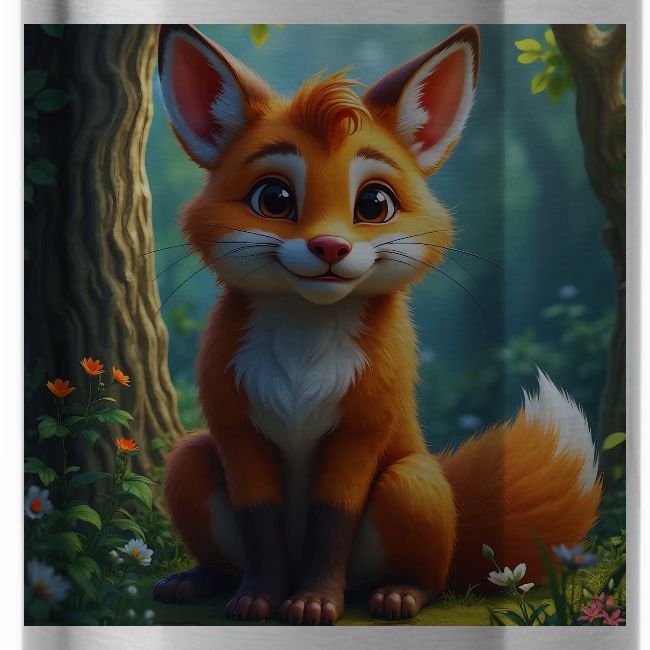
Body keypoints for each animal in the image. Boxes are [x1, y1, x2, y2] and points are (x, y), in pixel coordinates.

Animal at [152, 24, 601, 624]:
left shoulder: (362, 426)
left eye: (373, 204)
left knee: (431, 577)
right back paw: (200, 579)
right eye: (274, 198)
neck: (304, 349)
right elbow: (260, 522)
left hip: (410, 484)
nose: (329, 246)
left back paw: (398, 594)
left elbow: (331, 521)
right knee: (221, 542)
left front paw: (315, 602)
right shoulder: (235, 426)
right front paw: (258, 599)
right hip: (189, 460)